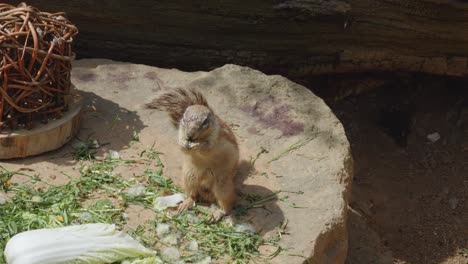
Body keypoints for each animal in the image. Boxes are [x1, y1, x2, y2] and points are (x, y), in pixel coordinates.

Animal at [147, 88, 238, 221]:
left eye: (204, 122)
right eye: (184, 119)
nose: (189, 136)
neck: (198, 138)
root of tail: (207, 192)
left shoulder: (215, 137)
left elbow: (207, 148)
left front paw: (198, 145)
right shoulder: (181, 131)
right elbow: (182, 147)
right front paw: (184, 143)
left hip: (223, 186)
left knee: (227, 205)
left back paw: (217, 213)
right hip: (189, 177)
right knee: (193, 195)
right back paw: (186, 203)